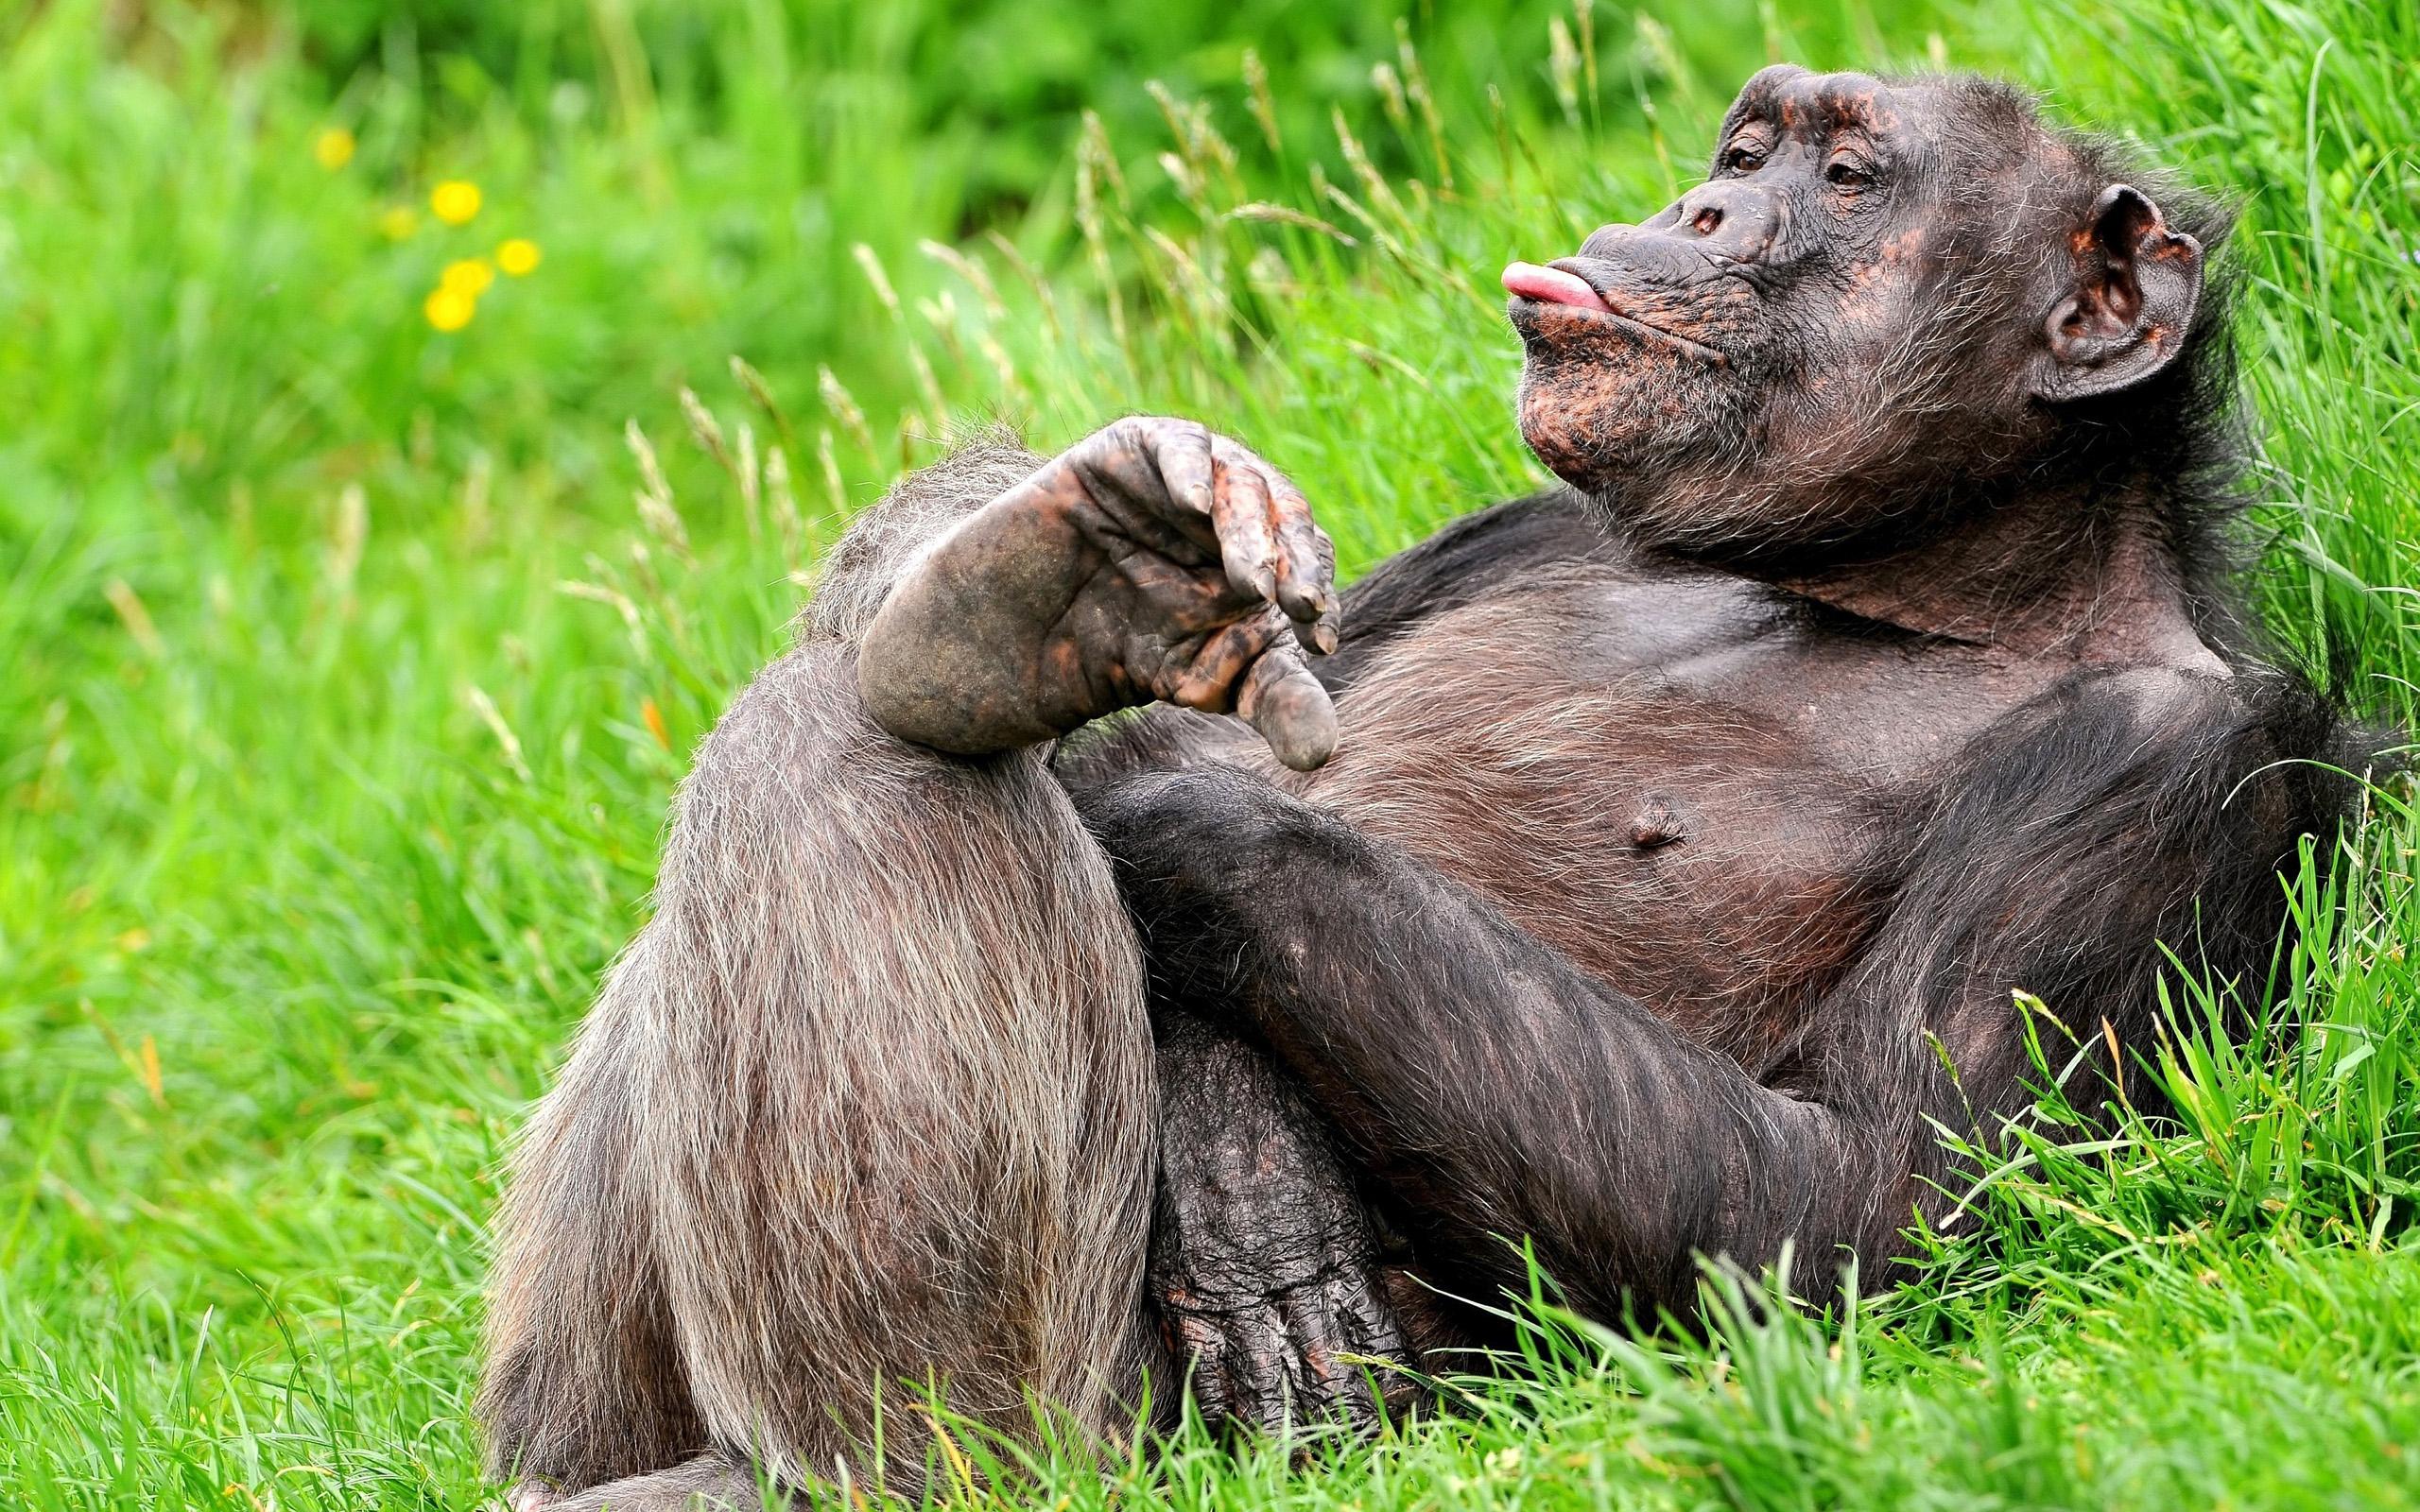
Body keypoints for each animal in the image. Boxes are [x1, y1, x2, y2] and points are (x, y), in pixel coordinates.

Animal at [477, 67, 2374, 1510]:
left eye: (1844, 179)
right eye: (1741, 153)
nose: (1698, 213)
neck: (1889, 588)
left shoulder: (2161, 775)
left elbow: (1856, 1209)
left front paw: (1183, 866)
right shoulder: (1517, 528)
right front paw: (1107, 567)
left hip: (1118, 1440)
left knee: (859, 760)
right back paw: (1015, 612)